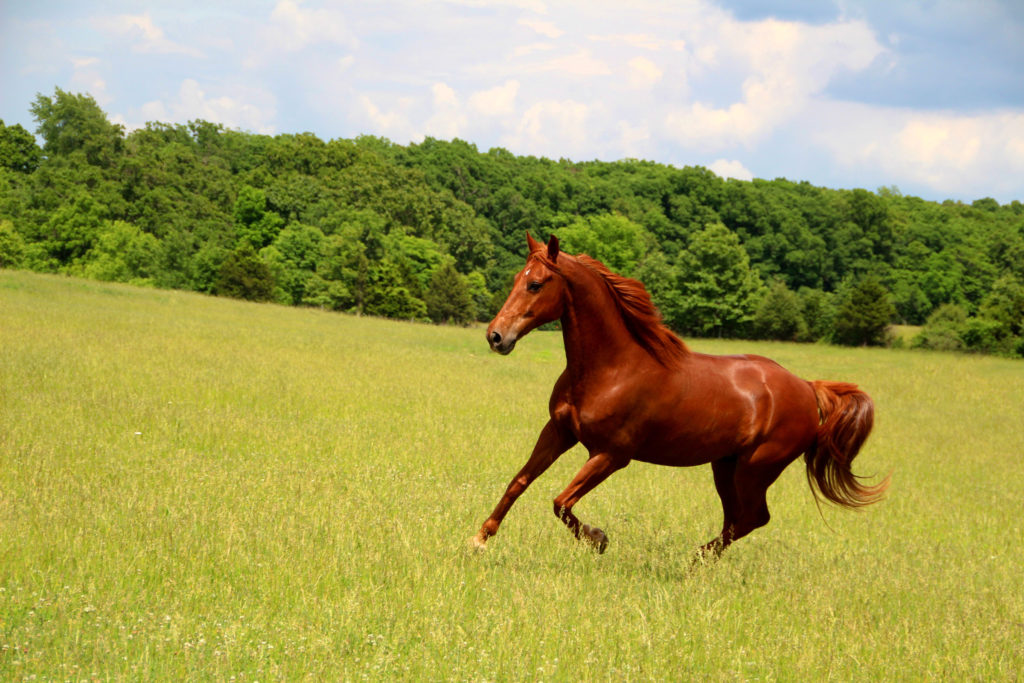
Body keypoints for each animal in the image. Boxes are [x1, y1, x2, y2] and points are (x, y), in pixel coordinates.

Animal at [470, 233, 888, 559]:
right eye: (516, 278)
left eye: (536, 284)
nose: (496, 336)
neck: (611, 368)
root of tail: (806, 387)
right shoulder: (558, 432)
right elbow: (519, 482)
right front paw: (479, 539)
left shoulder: (611, 455)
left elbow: (561, 502)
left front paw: (598, 538)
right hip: (726, 466)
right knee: (738, 518)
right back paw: (698, 560)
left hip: (756, 469)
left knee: (753, 518)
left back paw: (693, 560)